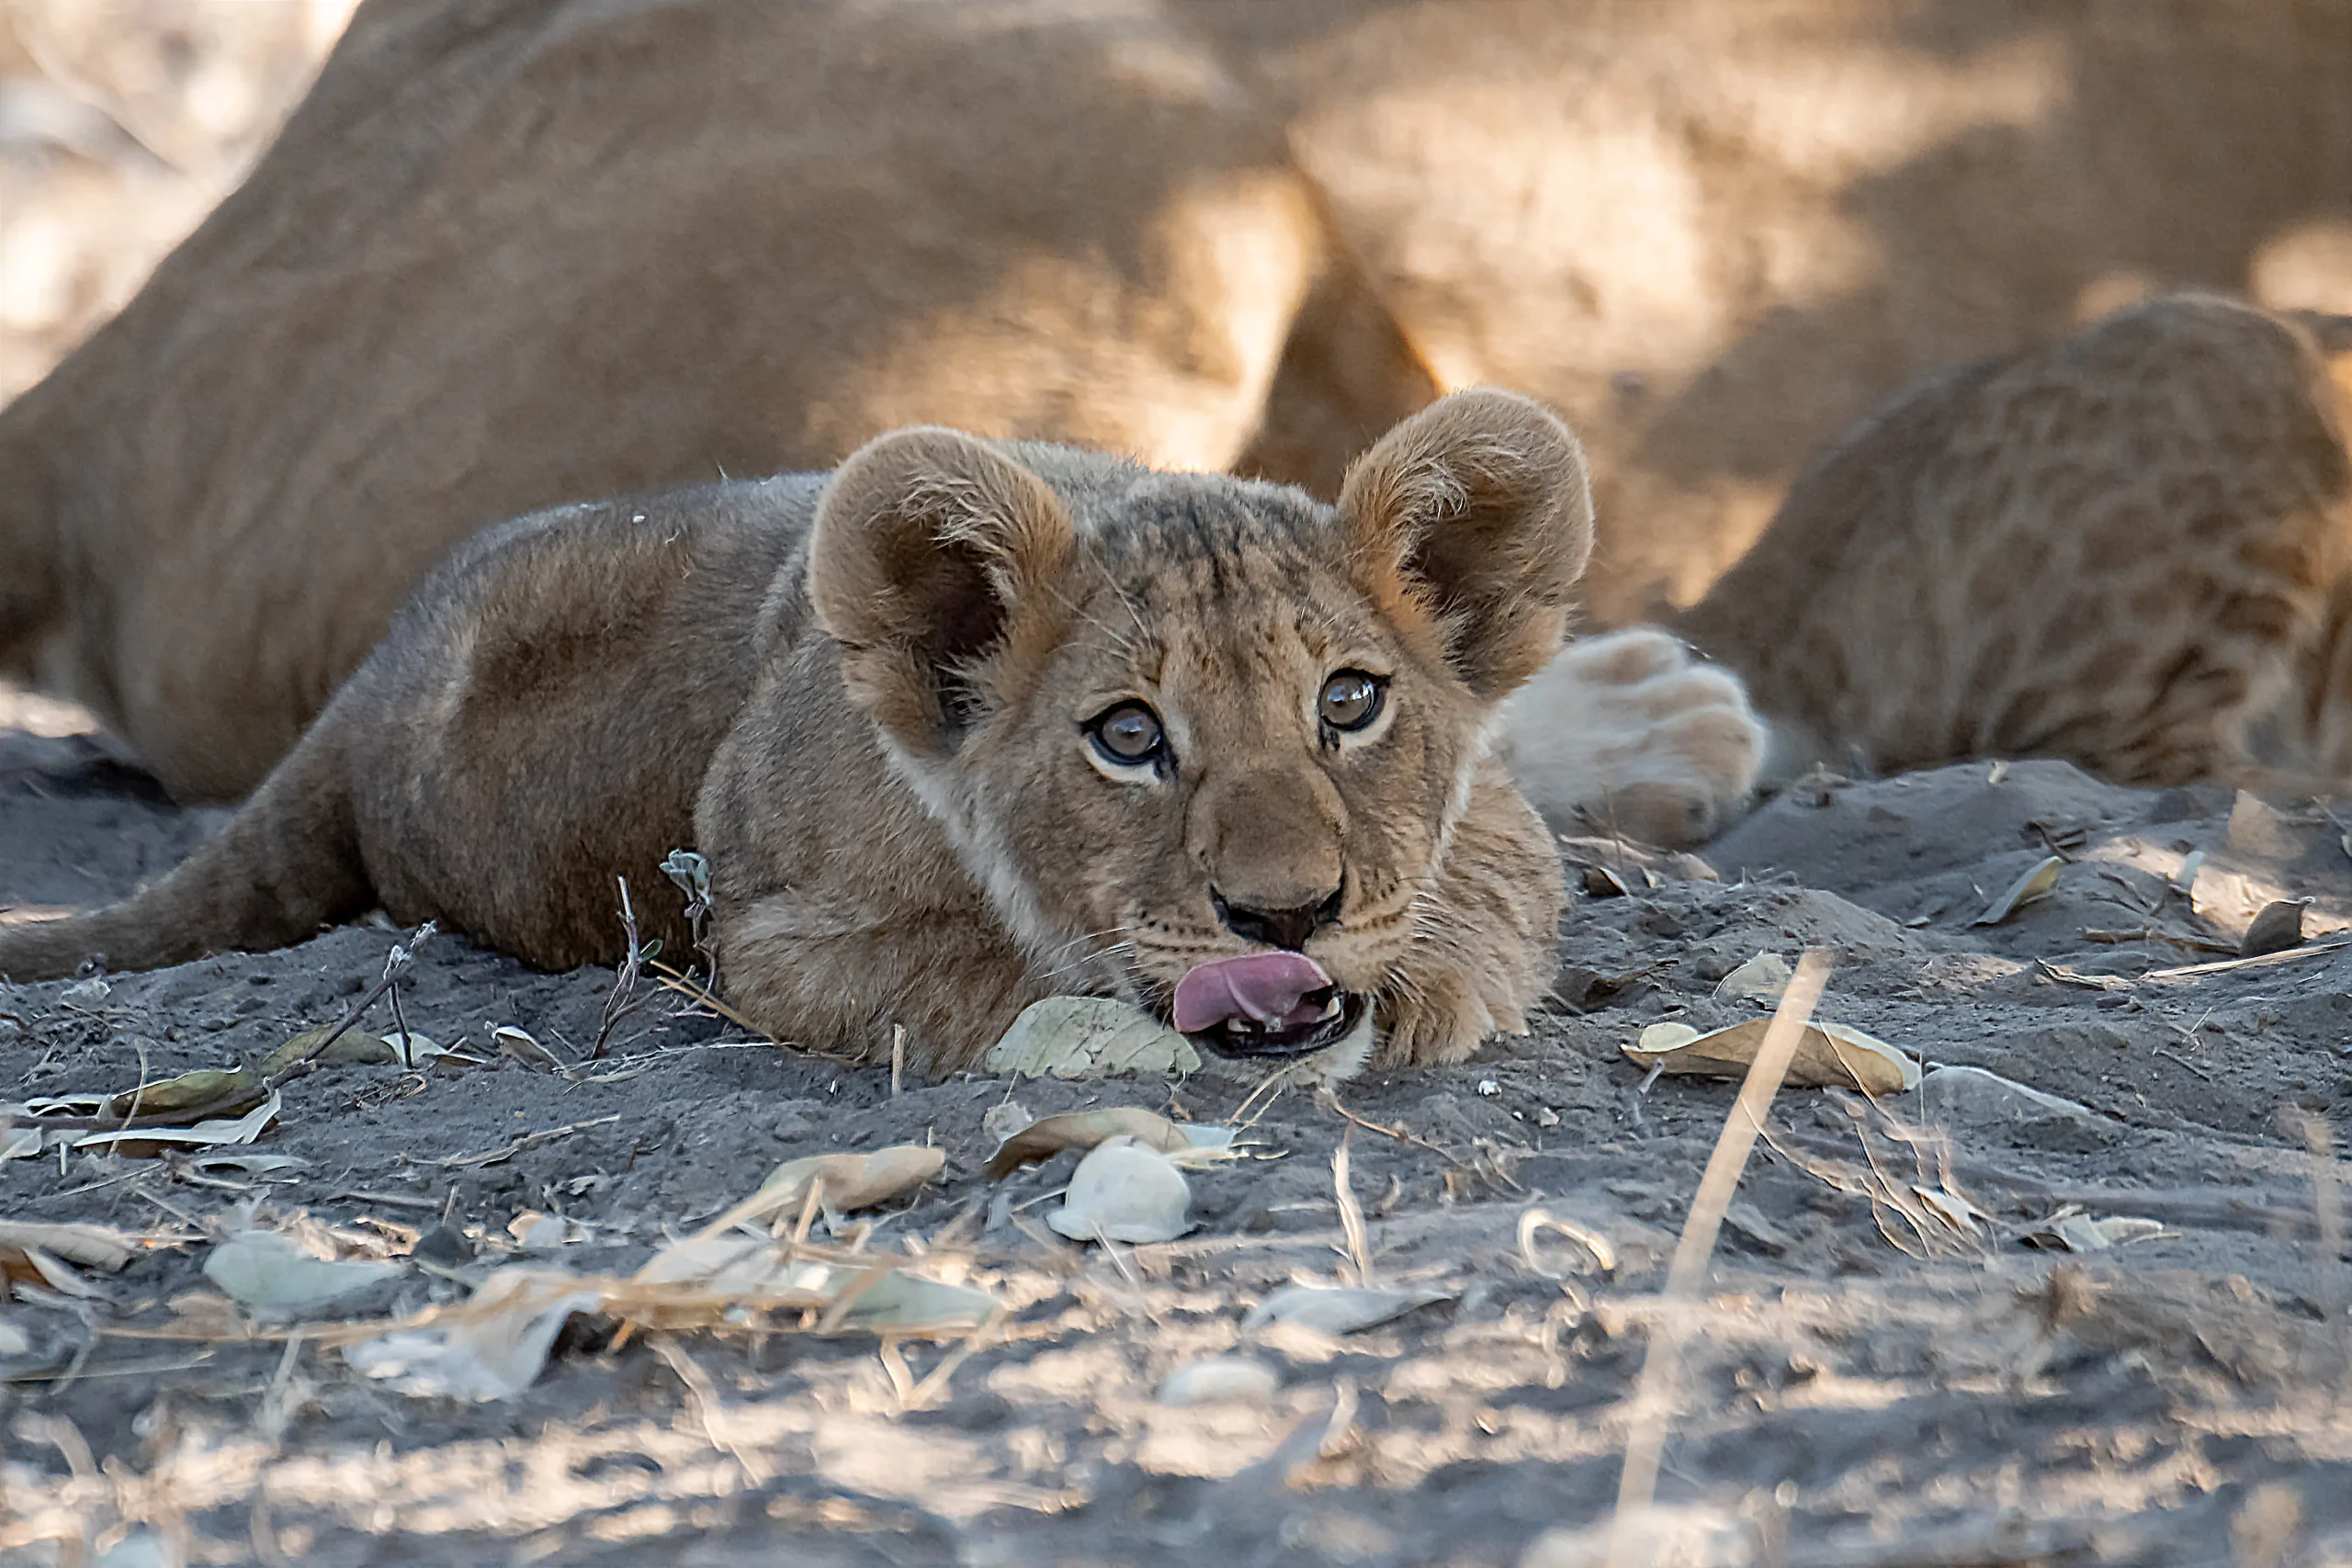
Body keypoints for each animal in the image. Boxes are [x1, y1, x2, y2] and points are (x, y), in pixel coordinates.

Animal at [0, 391, 1725, 1077]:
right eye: (1127, 737)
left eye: (1350, 701)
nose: (1283, 916)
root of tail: (367, 689)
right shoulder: (766, 937)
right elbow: (987, 977)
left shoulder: (1483, 818)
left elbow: (1490, 877)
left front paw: (1419, 970)